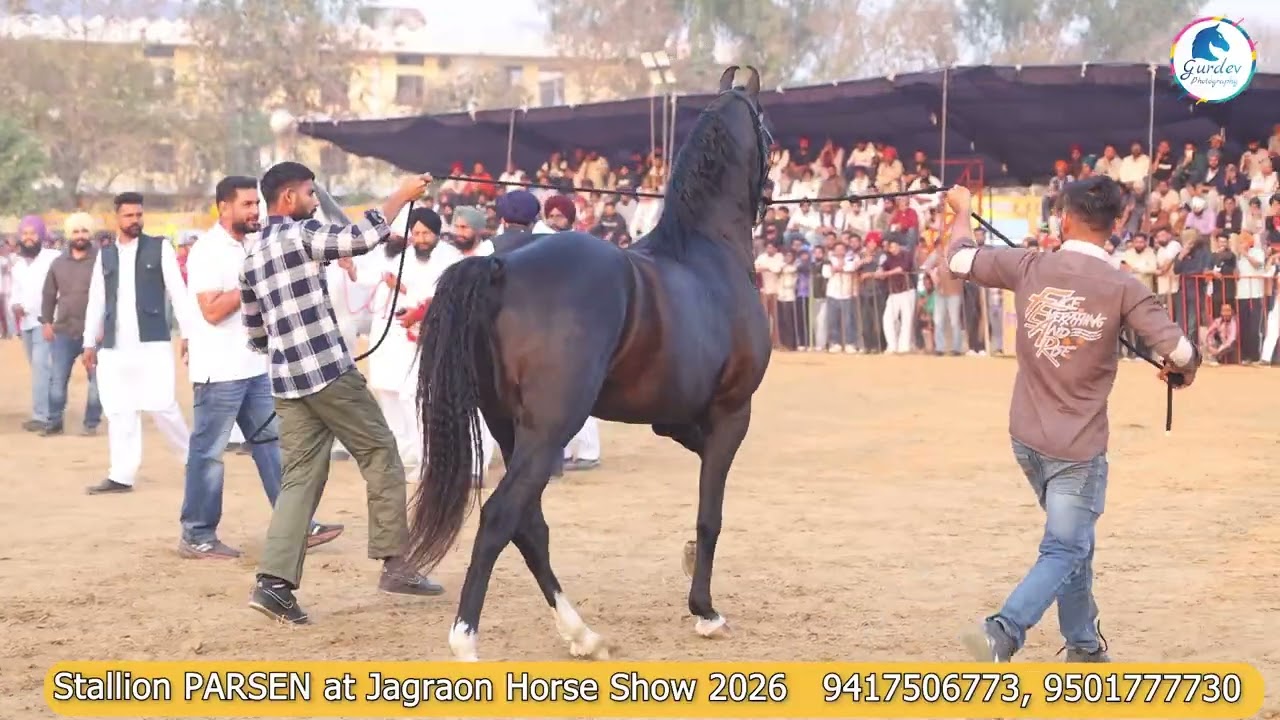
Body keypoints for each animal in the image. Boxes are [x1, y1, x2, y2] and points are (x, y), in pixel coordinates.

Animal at [406, 65, 773, 661]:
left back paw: (581, 633)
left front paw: (688, 559)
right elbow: (710, 511)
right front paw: (706, 610)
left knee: (529, 527)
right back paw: (466, 639)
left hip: (512, 427)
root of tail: (500, 266)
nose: (769, 194)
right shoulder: (731, 412)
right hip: (551, 428)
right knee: (501, 518)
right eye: (768, 133)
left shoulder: (672, 418)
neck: (705, 250)